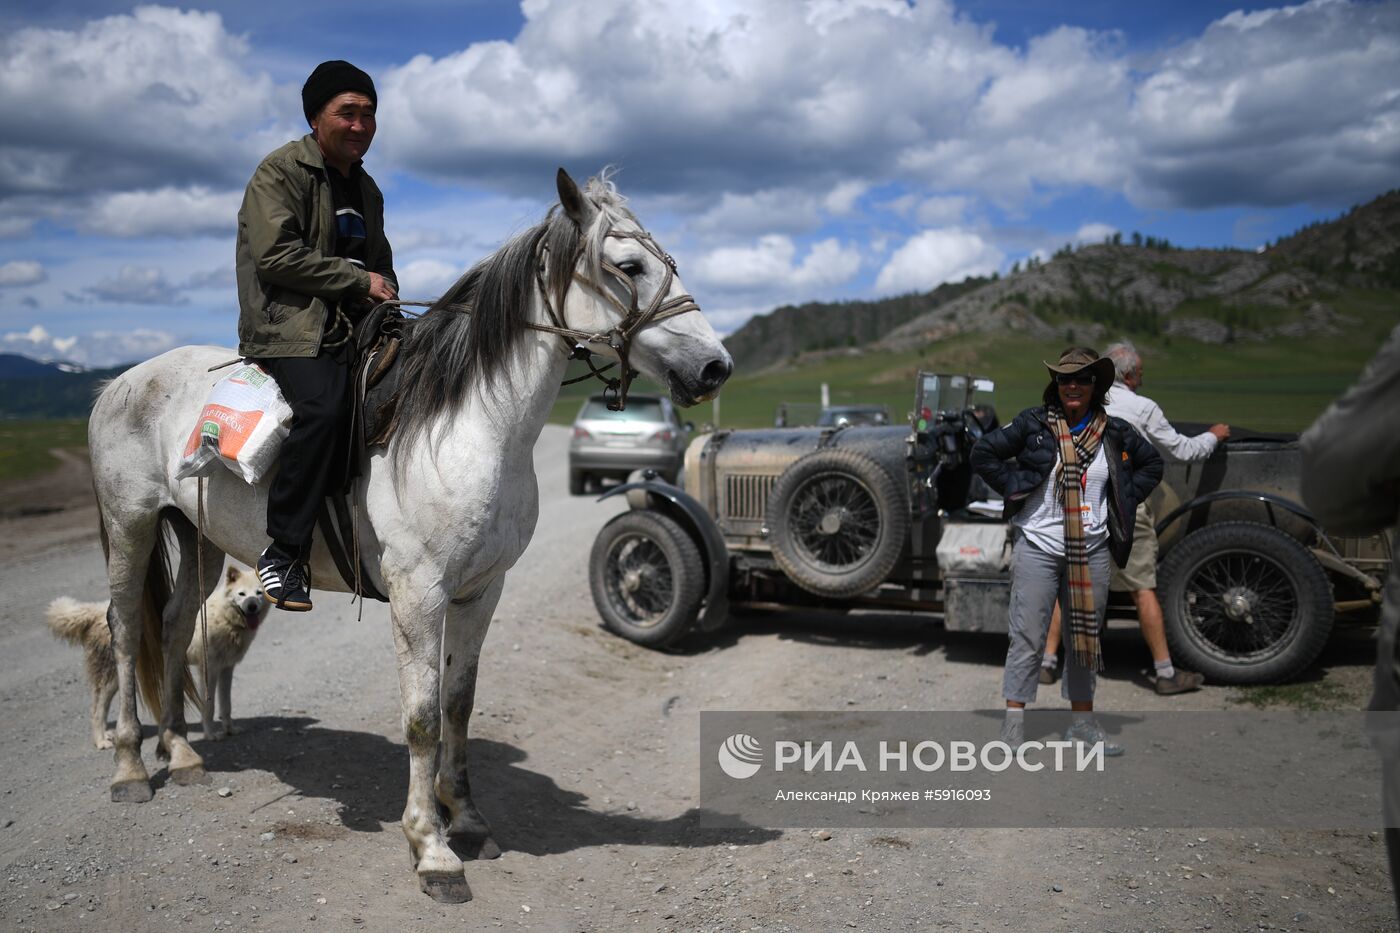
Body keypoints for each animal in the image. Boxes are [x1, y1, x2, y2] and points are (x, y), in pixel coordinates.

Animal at [45, 563, 270, 745]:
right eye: (241, 594)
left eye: (258, 593)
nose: (251, 606)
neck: (226, 617)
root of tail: (96, 611)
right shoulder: (209, 669)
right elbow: (210, 707)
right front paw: (211, 735)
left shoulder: (226, 668)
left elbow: (226, 705)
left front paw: (230, 729)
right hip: (111, 679)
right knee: (95, 710)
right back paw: (101, 741)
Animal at [90, 170, 733, 896]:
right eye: (628, 266)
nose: (715, 367)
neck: (473, 425)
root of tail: (120, 381)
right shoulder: (419, 595)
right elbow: (422, 717)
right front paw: (432, 846)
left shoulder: (481, 590)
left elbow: (458, 703)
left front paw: (469, 818)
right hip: (132, 524)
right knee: (124, 628)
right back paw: (131, 768)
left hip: (195, 533)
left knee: (172, 625)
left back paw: (180, 750)